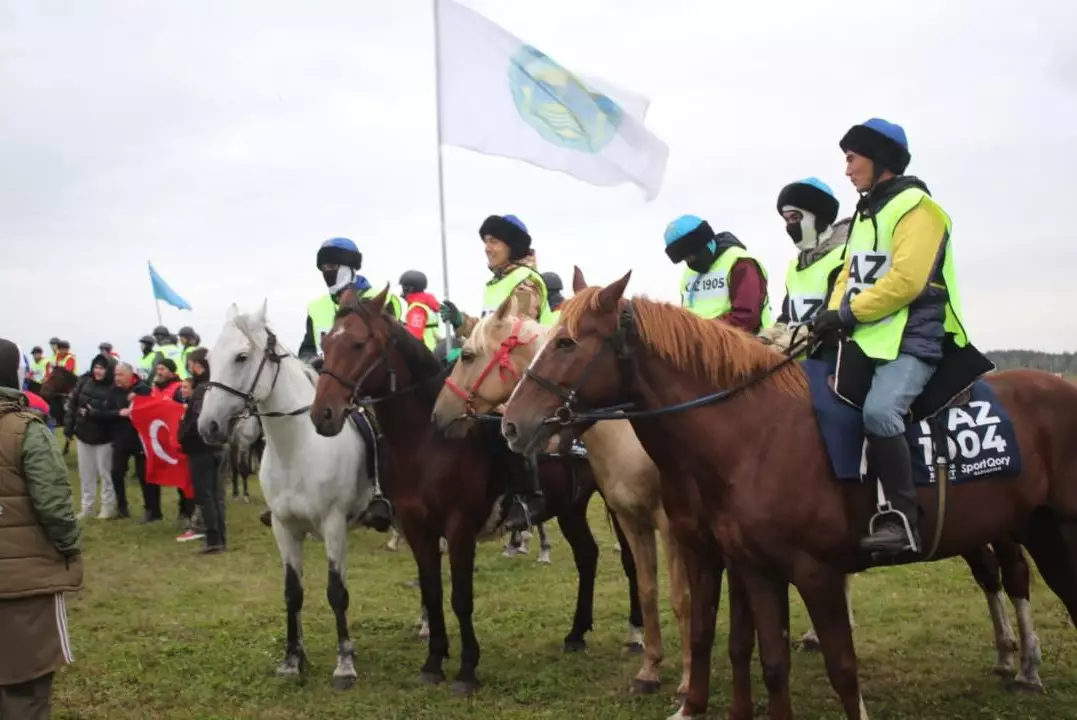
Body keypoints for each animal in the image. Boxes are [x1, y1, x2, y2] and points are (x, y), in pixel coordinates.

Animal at [197, 301, 374, 688]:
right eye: (211, 357)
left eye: (242, 356)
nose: (208, 427)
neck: (297, 447)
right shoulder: (284, 527)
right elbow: (293, 593)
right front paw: (293, 659)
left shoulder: (333, 524)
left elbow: (335, 592)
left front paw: (344, 665)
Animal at [303, 288, 637, 697]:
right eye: (326, 344)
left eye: (358, 343)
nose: (323, 414)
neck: (427, 442)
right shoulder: (417, 528)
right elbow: (431, 590)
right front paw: (433, 661)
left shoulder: (459, 527)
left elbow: (461, 597)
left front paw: (466, 669)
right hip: (571, 506)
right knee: (587, 555)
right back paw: (576, 634)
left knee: (630, 562)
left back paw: (636, 635)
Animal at [501, 269, 1077, 718]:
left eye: (566, 342)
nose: (510, 424)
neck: (756, 435)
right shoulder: (751, 566)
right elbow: (759, 656)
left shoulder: (813, 572)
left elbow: (841, 670)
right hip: (1035, 530)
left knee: (1016, 579)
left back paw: (1024, 666)